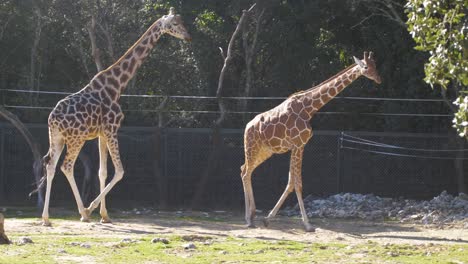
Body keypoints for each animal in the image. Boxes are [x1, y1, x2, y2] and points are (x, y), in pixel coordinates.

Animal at [38, 7, 192, 226]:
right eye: (175, 24)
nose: (188, 37)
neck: (117, 86)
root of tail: (53, 119)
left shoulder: (101, 134)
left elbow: (102, 172)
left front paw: (105, 215)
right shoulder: (112, 128)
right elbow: (119, 171)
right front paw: (91, 209)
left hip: (57, 138)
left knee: (51, 166)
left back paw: (46, 218)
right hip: (76, 139)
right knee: (66, 166)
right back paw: (82, 212)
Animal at [241, 51, 380, 231]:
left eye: (375, 65)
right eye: (366, 67)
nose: (379, 79)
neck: (309, 108)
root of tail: (247, 127)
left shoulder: (299, 146)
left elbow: (291, 182)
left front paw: (267, 219)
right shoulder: (298, 145)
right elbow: (296, 183)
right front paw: (307, 224)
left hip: (265, 151)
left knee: (245, 170)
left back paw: (251, 216)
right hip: (252, 147)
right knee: (245, 172)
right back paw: (249, 219)